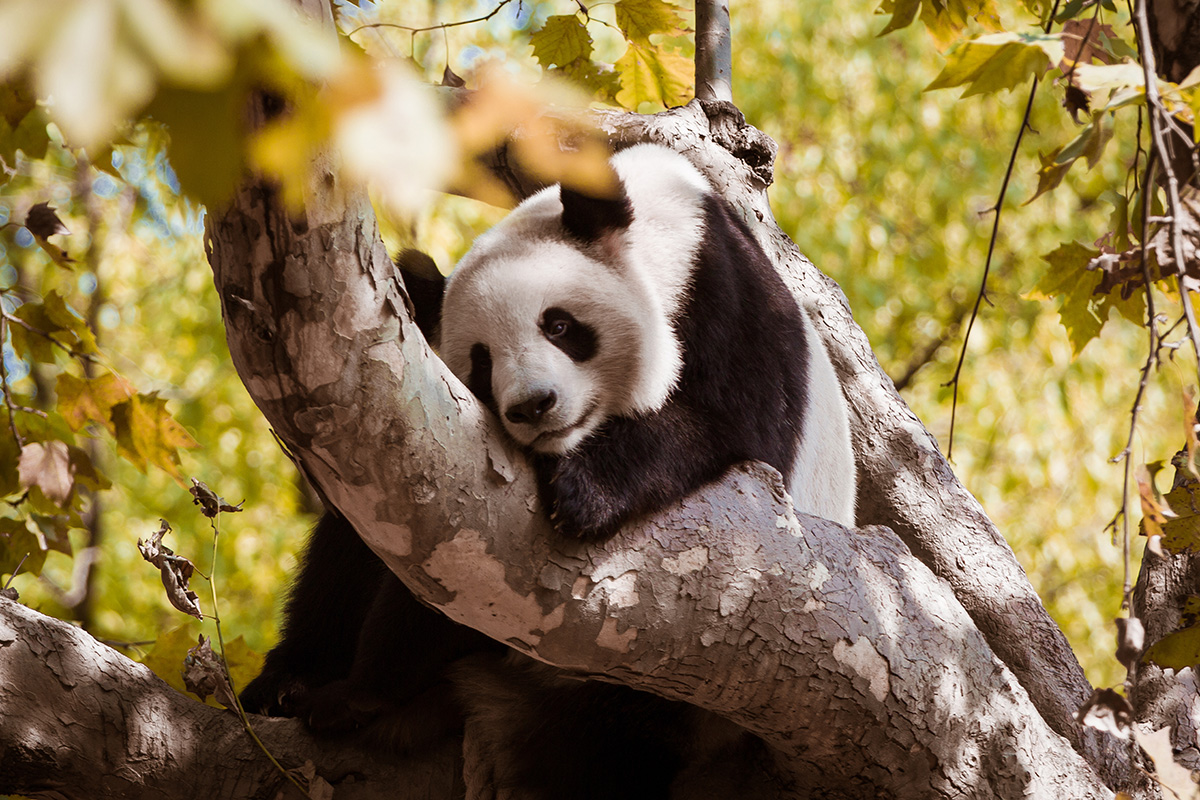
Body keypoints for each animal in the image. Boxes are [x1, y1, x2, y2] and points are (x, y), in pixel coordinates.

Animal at [240, 144, 856, 798]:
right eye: (481, 363)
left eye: (558, 325)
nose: (533, 406)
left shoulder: (729, 301)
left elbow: (725, 423)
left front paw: (585, 492)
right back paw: (300, 686)